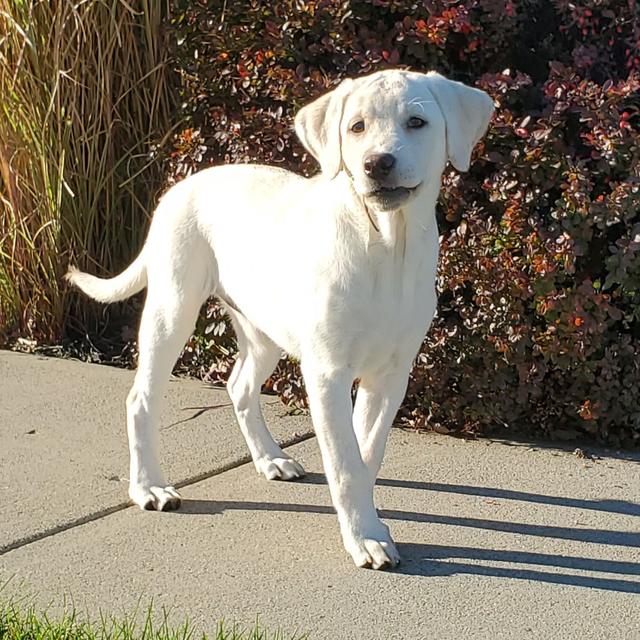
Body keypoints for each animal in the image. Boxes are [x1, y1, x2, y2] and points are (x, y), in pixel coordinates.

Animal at [67, 70, 492, 568]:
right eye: (357, 127)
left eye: (417, 122)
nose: (377, 164)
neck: (385, 247)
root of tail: (181, 186)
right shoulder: (327, 372)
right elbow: (345, 463)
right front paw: (365, 537)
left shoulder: (390, 375)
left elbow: (365, 453)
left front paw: (367, 523)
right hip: (173, 309)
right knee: (142, 399)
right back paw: (149, 486)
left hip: (262, 330)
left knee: (239, 387)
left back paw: (270, 458)